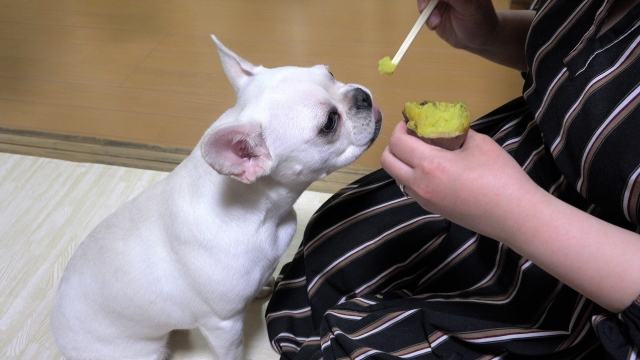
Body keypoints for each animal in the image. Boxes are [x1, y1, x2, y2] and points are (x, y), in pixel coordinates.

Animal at [50, 34, 382, 360]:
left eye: (331, 73)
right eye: (329, 123)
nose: (362, 96)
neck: (262, 213)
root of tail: (60, 336)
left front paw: (263, 286)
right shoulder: (223, 325)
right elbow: (231, 352)